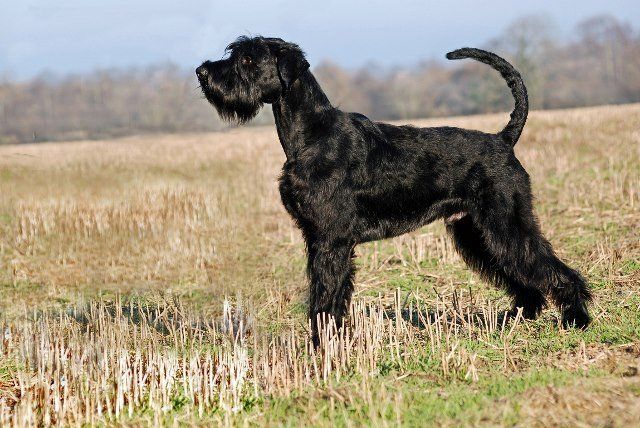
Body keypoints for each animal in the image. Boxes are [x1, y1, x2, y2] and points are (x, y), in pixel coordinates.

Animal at [196, 36, 592, 346]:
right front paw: (335, 340)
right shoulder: (320, 239)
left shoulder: (330, 239)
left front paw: (321, 346)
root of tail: (503, 140)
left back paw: (576, 319)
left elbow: (325, 294)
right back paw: (517, 318)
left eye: (248, 58)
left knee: (551, 267)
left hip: (506, 222)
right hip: (475, 230)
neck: (312, 135)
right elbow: (334, 293)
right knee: (523, 275)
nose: (202, 72)